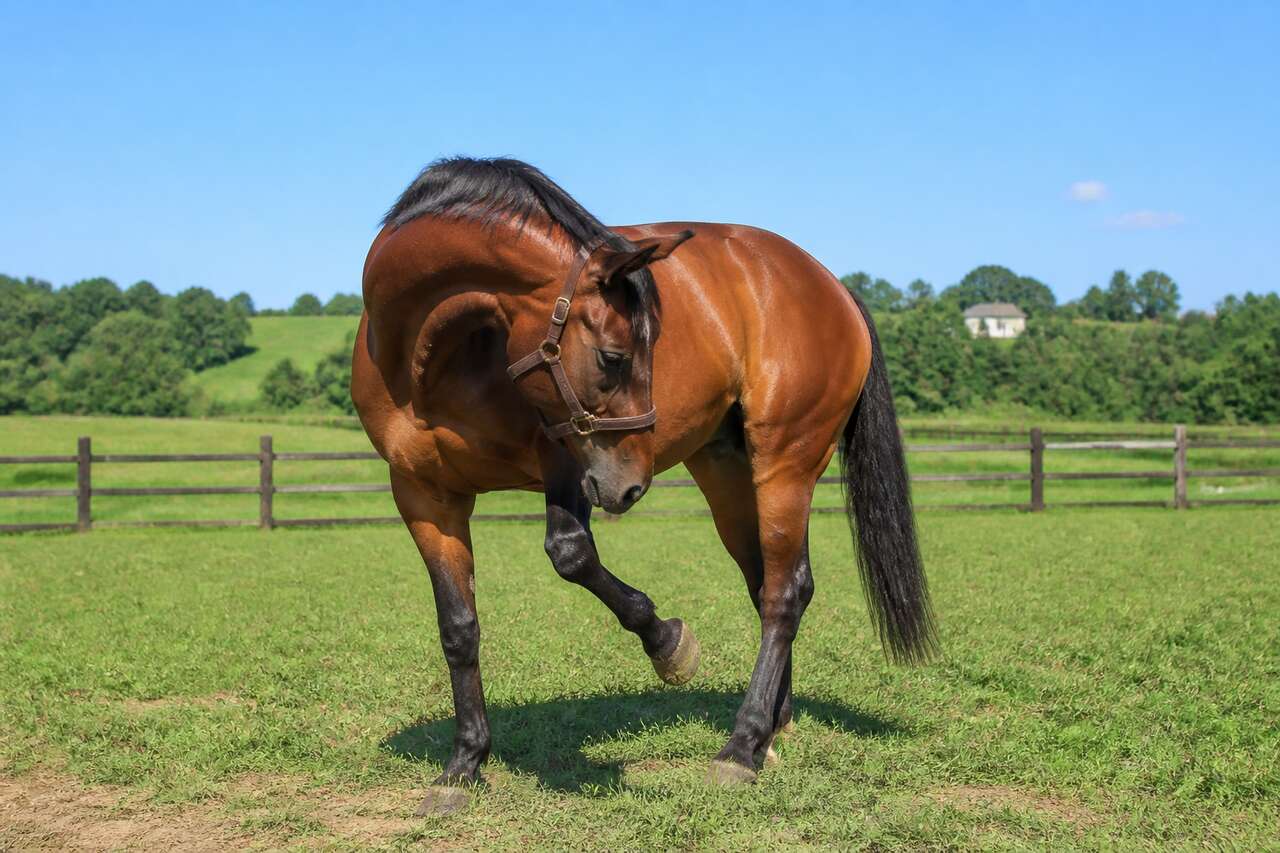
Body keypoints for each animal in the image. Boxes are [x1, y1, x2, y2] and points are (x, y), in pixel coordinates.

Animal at [352, 157, 936, 814]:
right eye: (613, 356)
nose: (631, 487)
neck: (429, 362)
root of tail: (831, 286)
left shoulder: (565, 459)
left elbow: (572, 555)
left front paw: (671, 646)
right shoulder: (426, 498)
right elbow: (459, 627)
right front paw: (464, 764)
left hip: (785, 465)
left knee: (784, 596)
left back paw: (740, 748)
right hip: (726, 476)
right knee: (771, 584)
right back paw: (771, 728)